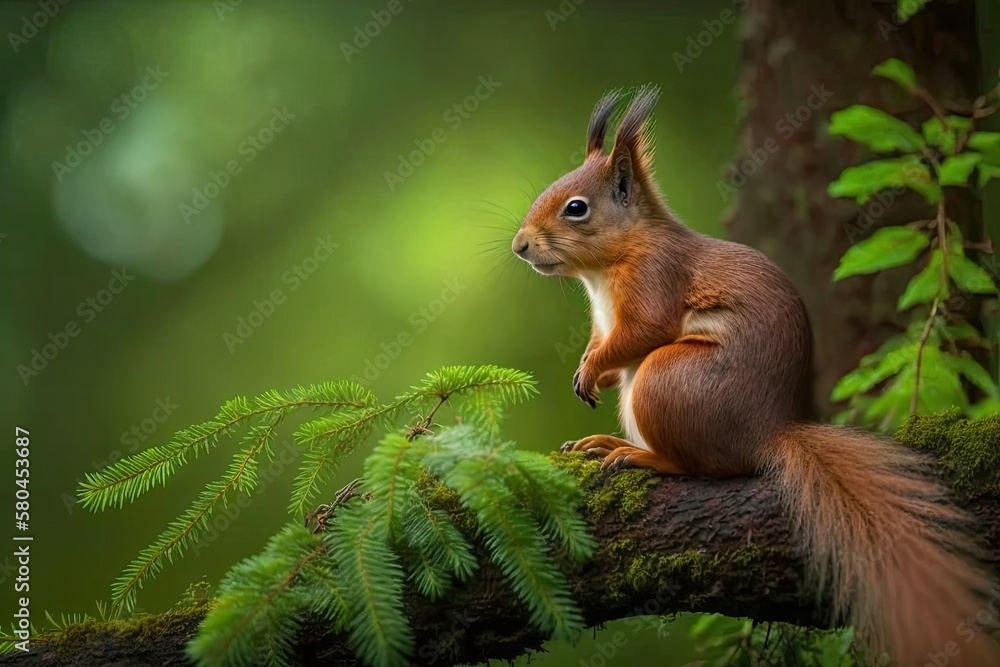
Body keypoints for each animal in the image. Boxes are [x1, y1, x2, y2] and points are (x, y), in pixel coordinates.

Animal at [512, 87, 1000, 667]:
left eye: (577, 208)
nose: (519, 245)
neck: (606, 269)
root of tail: (767, 430)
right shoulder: (602, 320)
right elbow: (602, 343)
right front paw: (589, 371)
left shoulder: (655, 281)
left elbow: (642, 332)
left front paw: (592, 369)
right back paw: (605, 442)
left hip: (663, 379)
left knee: (694, 464)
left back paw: (638, 455)